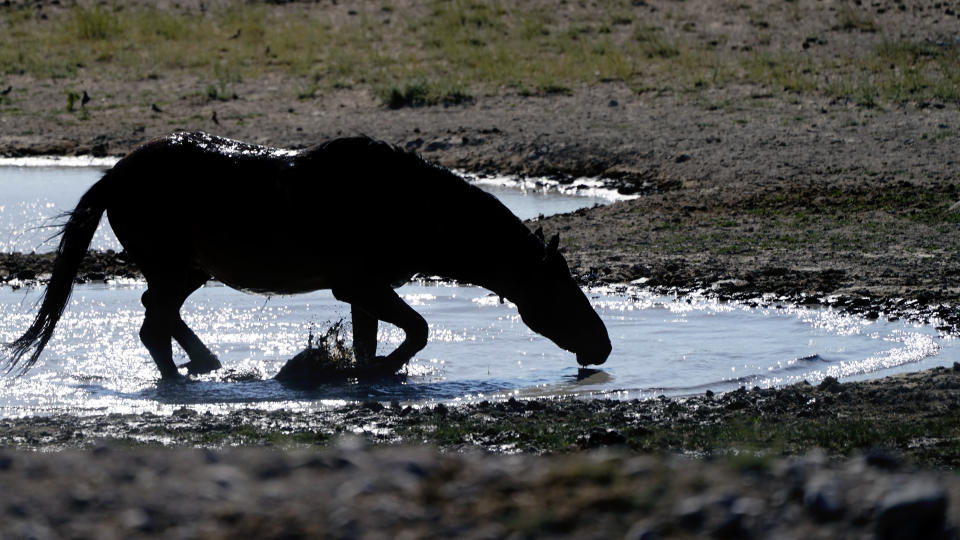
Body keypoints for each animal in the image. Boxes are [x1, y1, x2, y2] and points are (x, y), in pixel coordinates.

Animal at [3, 132, 612, 380]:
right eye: (561, 291)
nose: (602, 346)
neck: (410, 205)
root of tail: (116, 174)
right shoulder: (360, 283)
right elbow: (417, 331)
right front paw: (379, 369)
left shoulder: (369, 290)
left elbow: (372, 339)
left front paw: (368, 373)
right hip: (175, 266)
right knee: (154, 325)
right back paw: (188, 376)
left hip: (189, 271)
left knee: (160, 313)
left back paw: (207, 362)